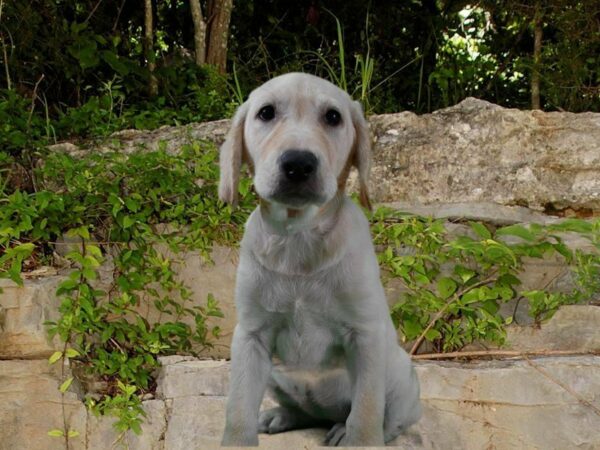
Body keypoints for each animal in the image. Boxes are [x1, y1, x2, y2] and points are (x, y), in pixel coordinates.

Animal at [218, 72, 420, 444]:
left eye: (333, 117)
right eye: (266, 113)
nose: (298, 164)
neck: (298, 236)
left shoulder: (365, 336)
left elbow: (366, 415)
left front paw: (360, 439)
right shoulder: (250, 337)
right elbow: (238, 412)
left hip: (401, 376)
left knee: (387, 422)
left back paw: (342, 429)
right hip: (276, 375)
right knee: (304, 411)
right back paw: (283, 416)